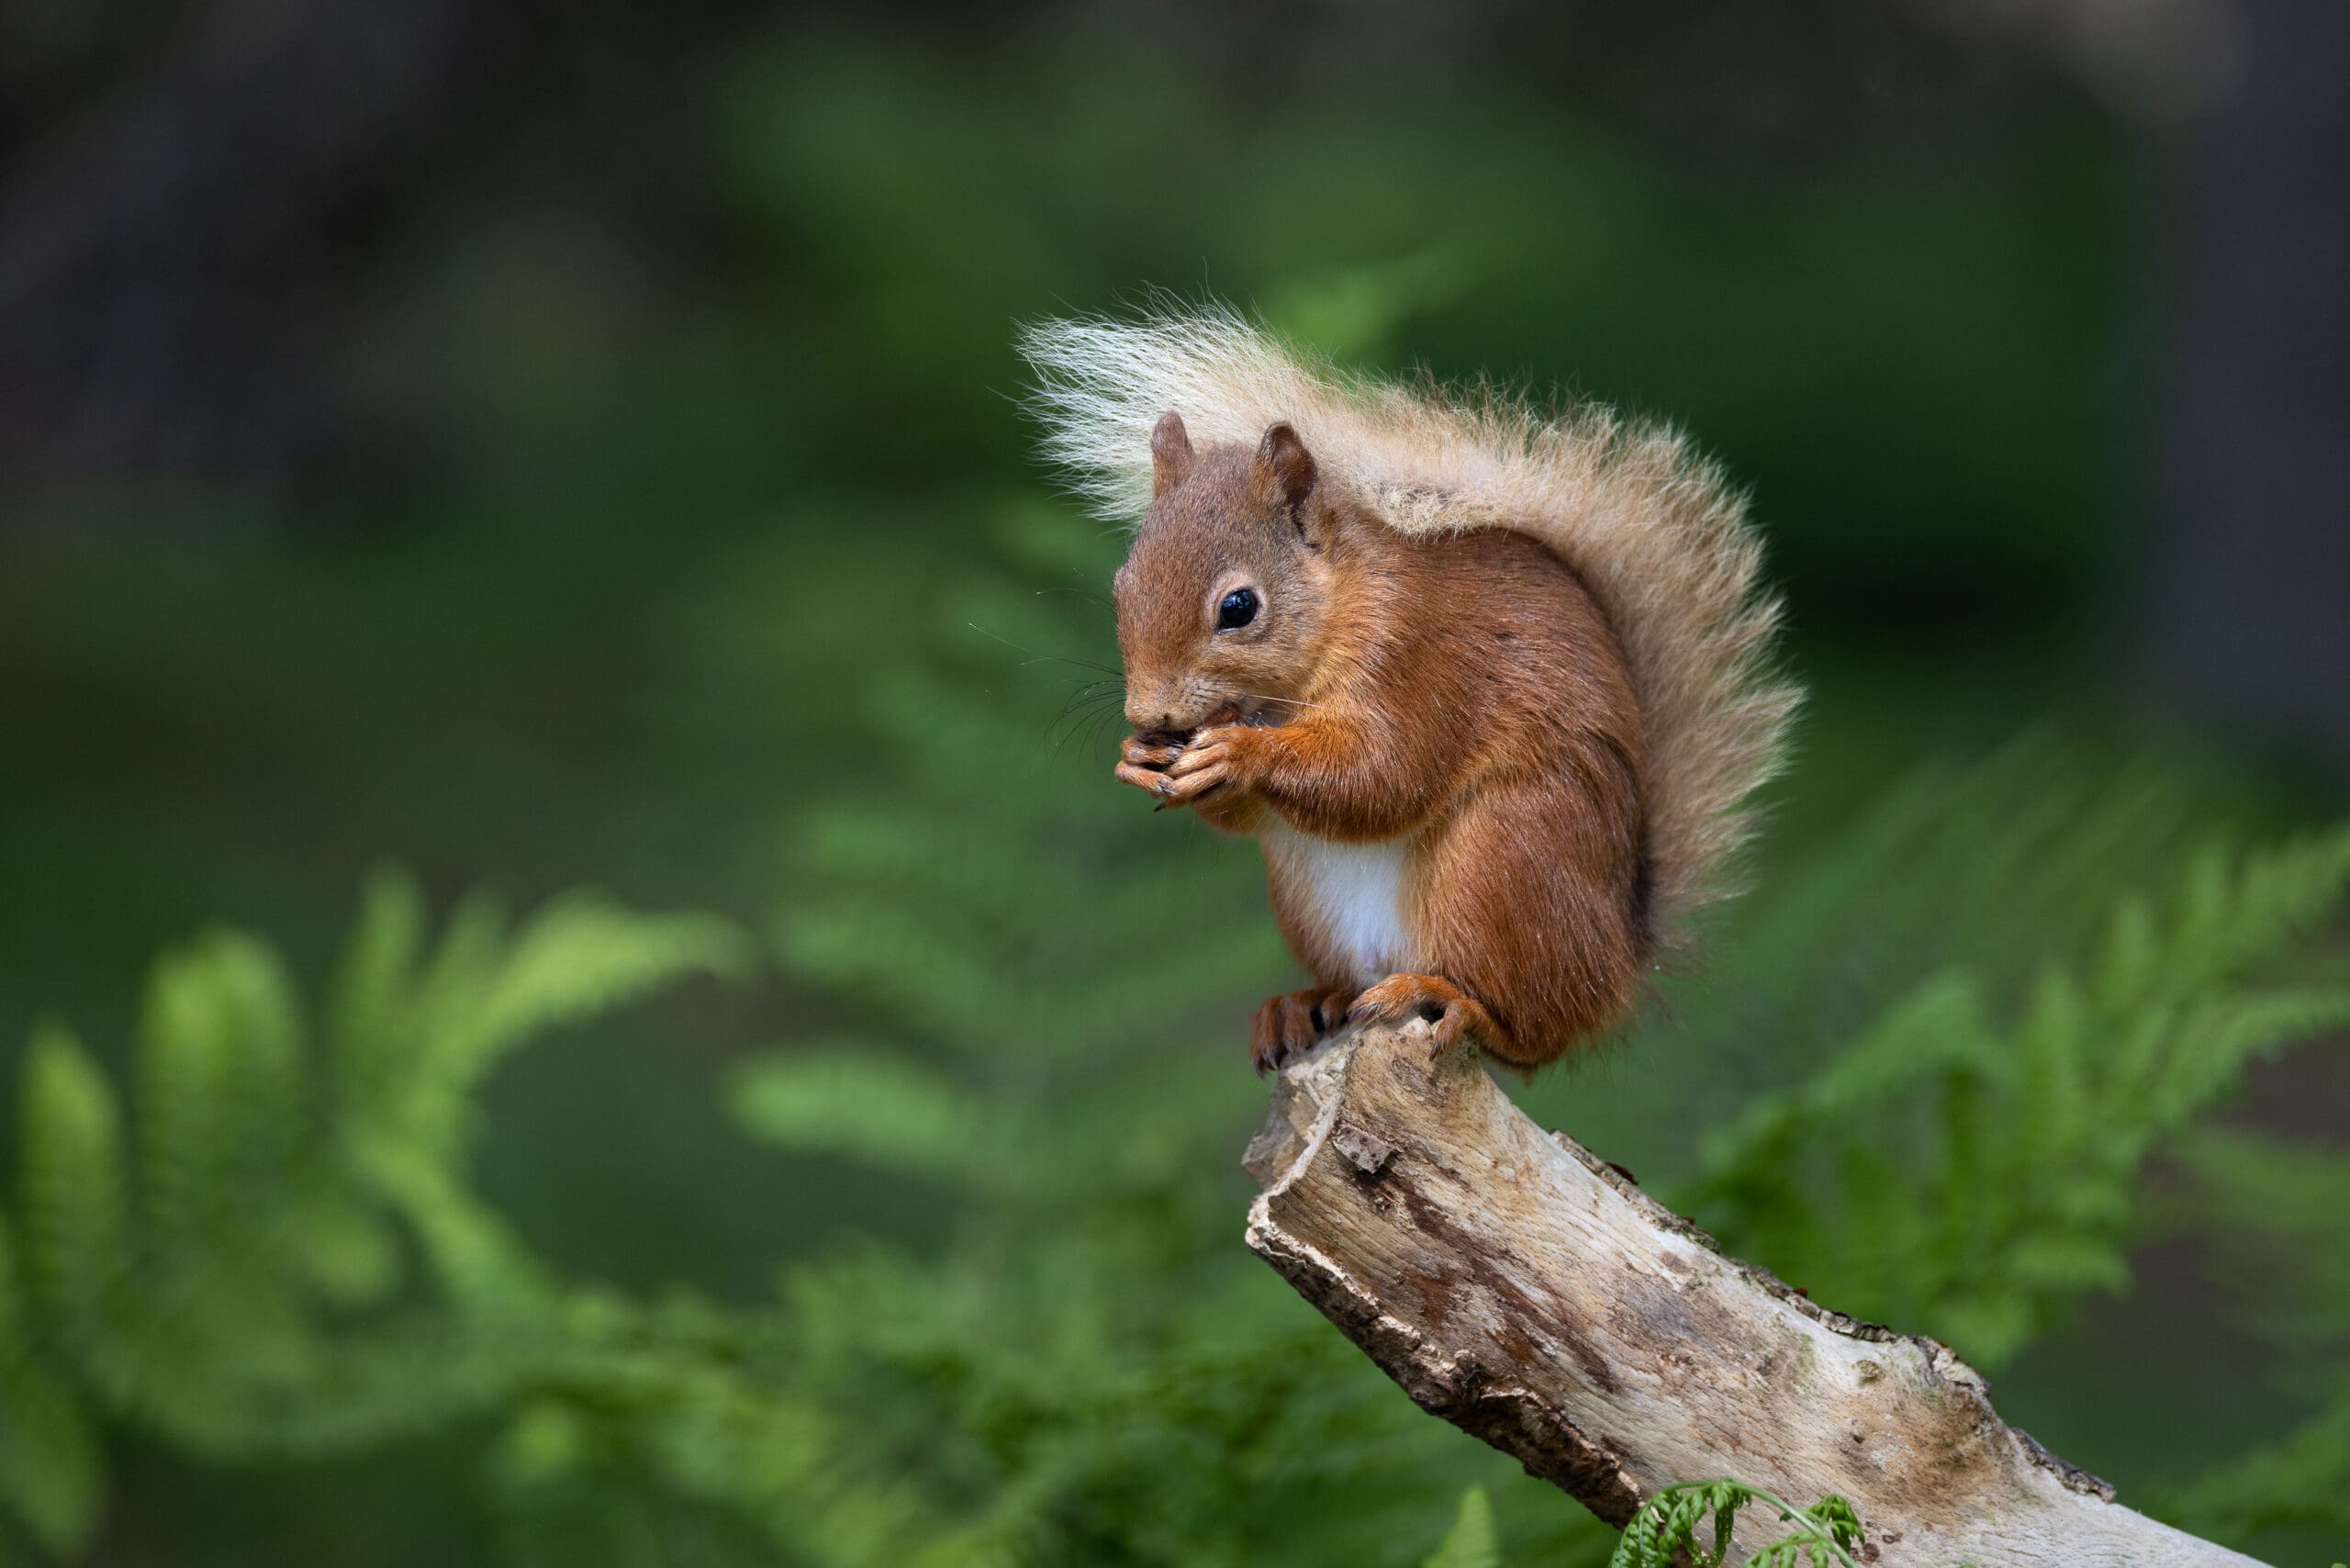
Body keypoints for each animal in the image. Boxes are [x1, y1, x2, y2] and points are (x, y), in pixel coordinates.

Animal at [1022, 307, 1795, 1075]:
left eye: (1238, 607)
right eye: (1121, 588)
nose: (1147, 713)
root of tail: (1622, 964)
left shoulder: (1419, 659)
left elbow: (1386, 772)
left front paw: (1240, 754)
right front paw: (1138, 757)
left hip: (1506, 857)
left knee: (1532, 1036)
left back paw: (1454, 1001)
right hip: (1310, 894)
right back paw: (1306, 1004)